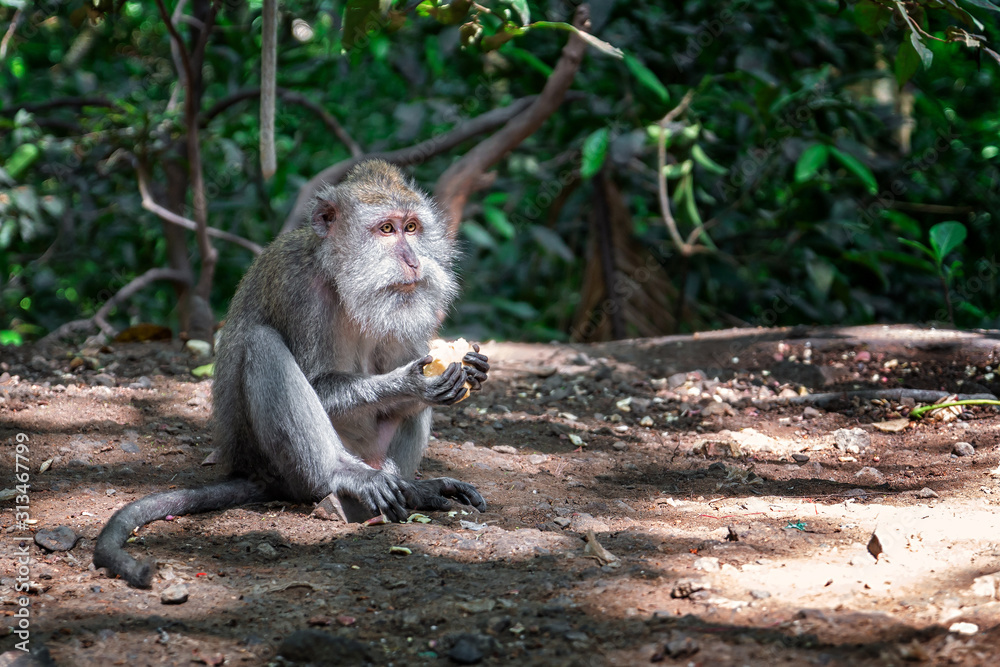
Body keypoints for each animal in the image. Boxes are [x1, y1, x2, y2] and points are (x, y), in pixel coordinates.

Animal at [94, 160, 490, 588]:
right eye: (387, 229)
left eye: (412, 228)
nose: (414, 262)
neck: (340, 278)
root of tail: (249, 469)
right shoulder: (298, 289)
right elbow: (318, 381)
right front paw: (411, 381)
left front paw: (469, 370)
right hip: (278, 465)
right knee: (262, 345)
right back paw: (341, 478)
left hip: (373, 454)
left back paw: (413, 490)